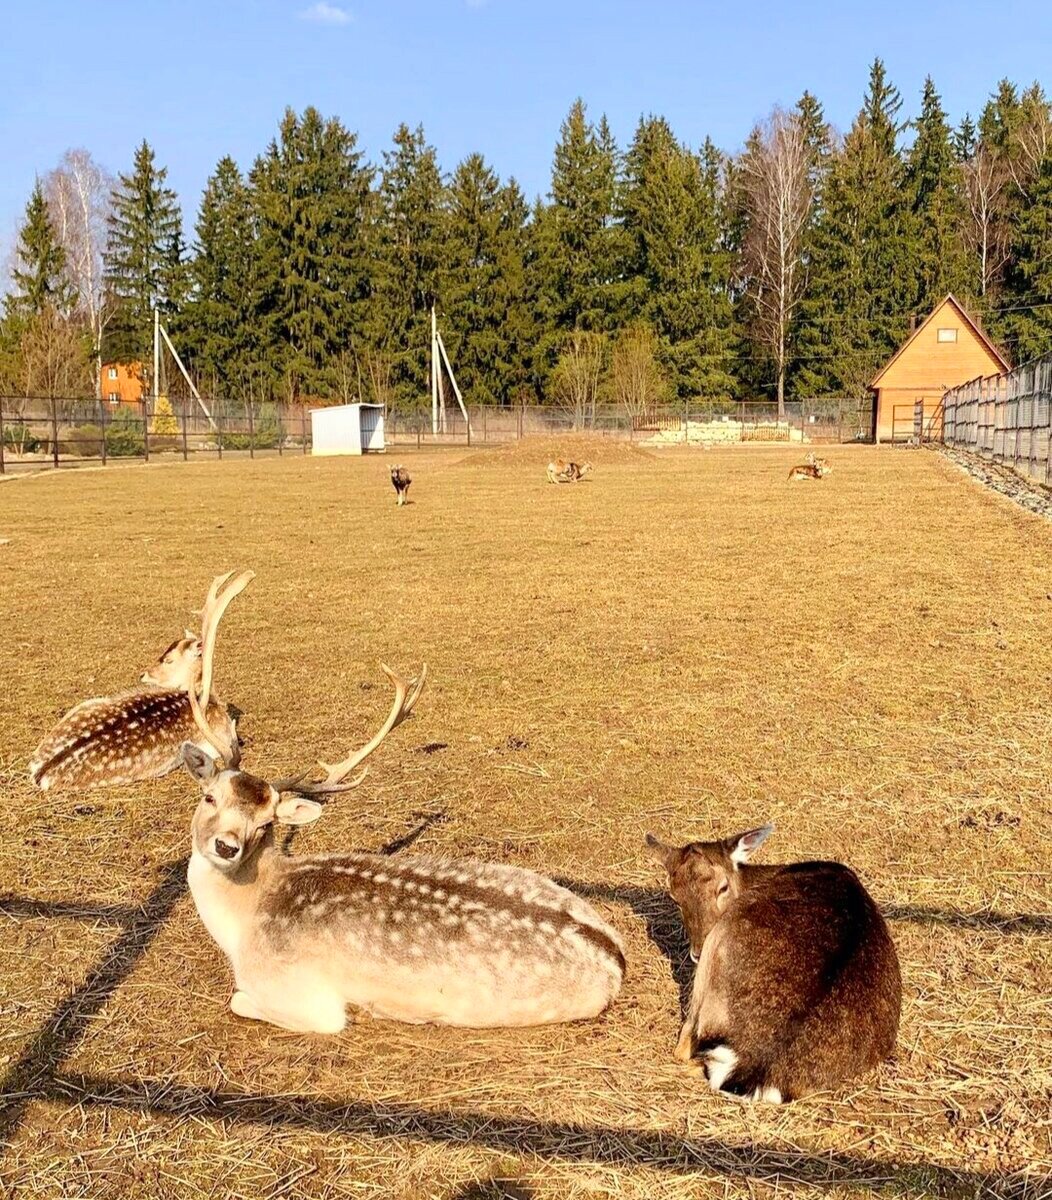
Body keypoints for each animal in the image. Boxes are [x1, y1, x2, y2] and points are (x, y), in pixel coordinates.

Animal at [181, 638, 623, 1032]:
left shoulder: (305, 1000)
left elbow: (238, 1000)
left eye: (265, 824)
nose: (226, 846)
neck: (243, 925)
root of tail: (616, 958)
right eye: (209, 796)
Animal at [642, 825, 897, 1104]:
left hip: (718, 947)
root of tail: (752, 1067)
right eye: (675, 898)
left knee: (684, 1044)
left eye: (723, 888)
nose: (696, 951)